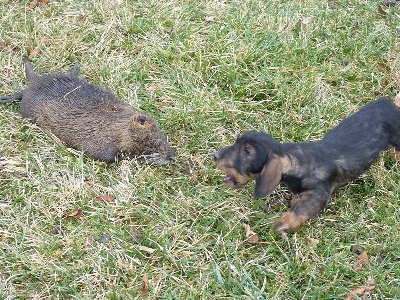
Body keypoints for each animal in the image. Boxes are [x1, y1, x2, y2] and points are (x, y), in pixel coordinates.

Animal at [214, 97, 400, 233]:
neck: (297, 164)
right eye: (237, 142)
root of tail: (386, 101)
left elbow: (300, 210)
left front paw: (283, 223)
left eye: (247, 151)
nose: (215, 156)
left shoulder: (320, 194)